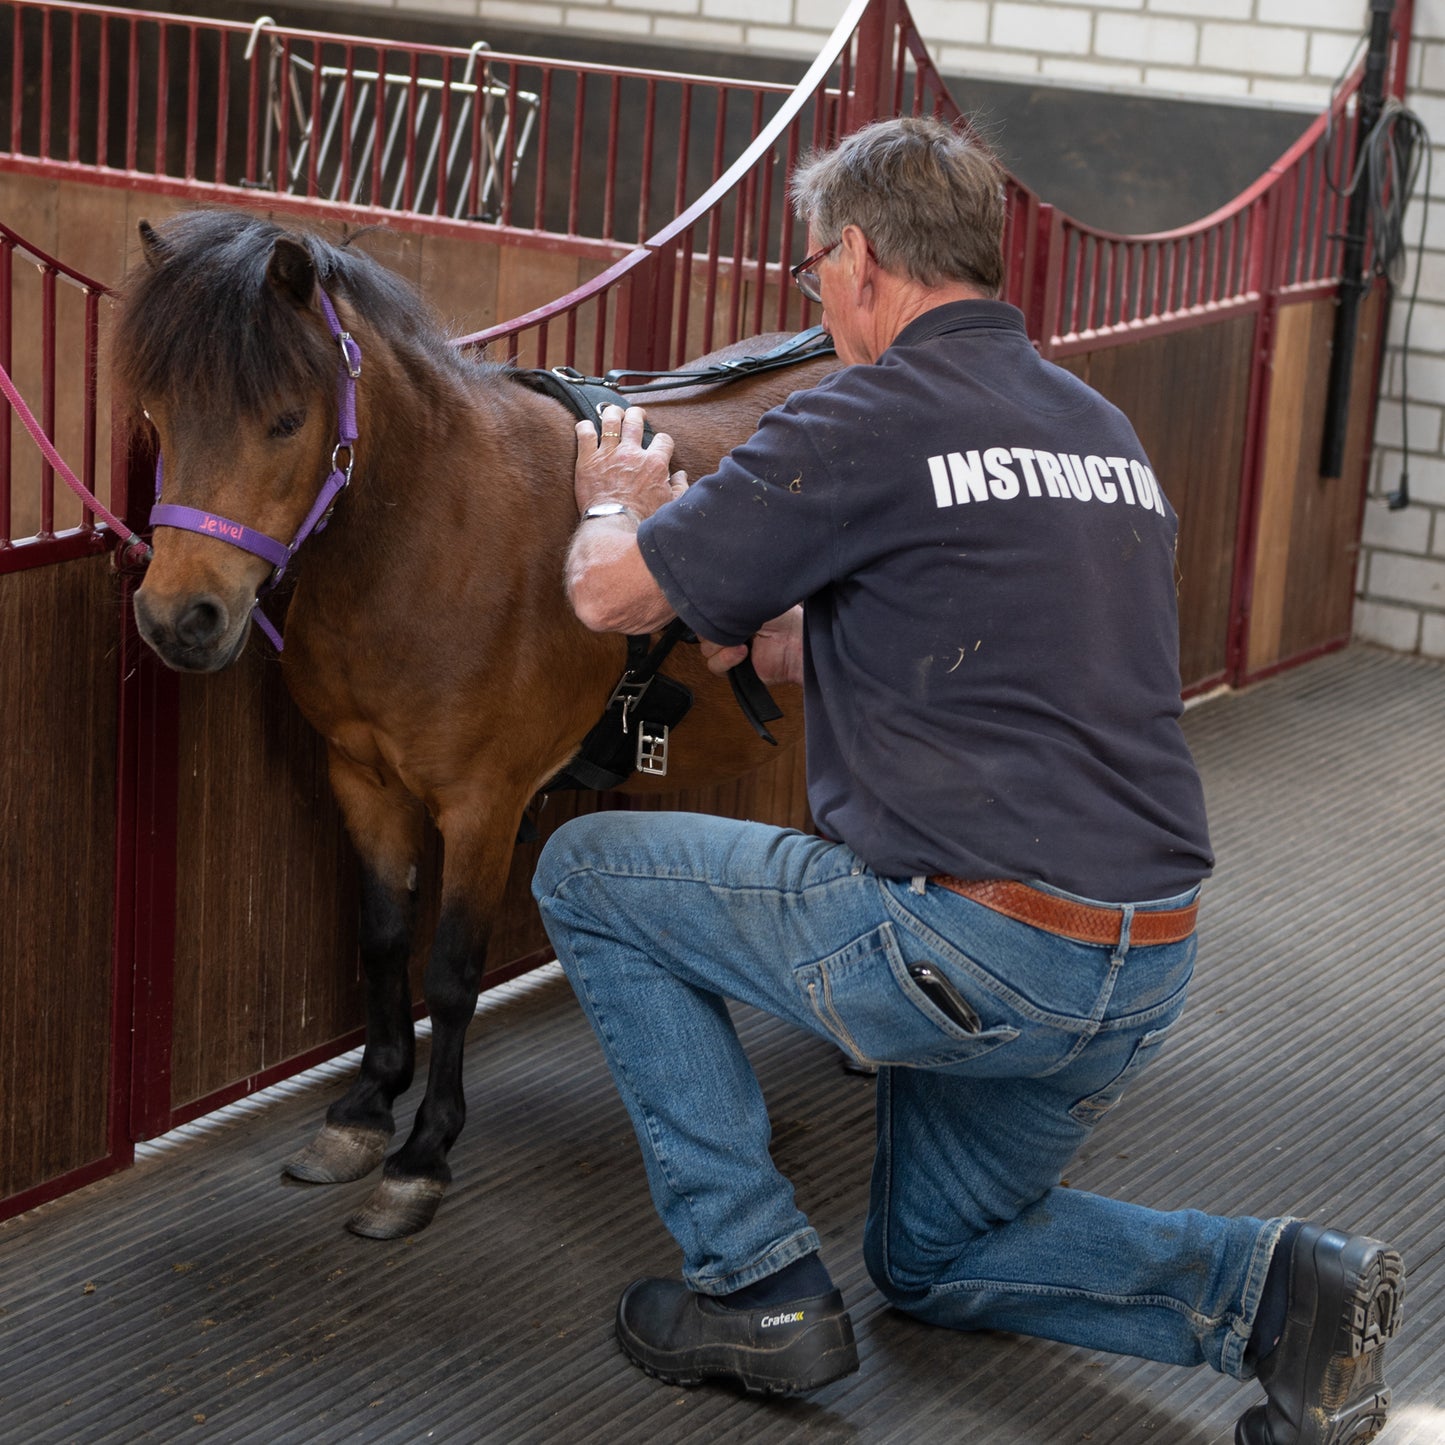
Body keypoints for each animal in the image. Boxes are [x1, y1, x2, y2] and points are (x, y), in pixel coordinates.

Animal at [118, 209, 843, 1236]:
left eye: (286, 420)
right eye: (160, 413)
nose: (181, 618)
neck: (432, 542)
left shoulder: (482, 807)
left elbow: (452, 972)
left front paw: (423, 1152)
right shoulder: (363, 780)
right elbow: (383, 937)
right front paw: (365, 1109)